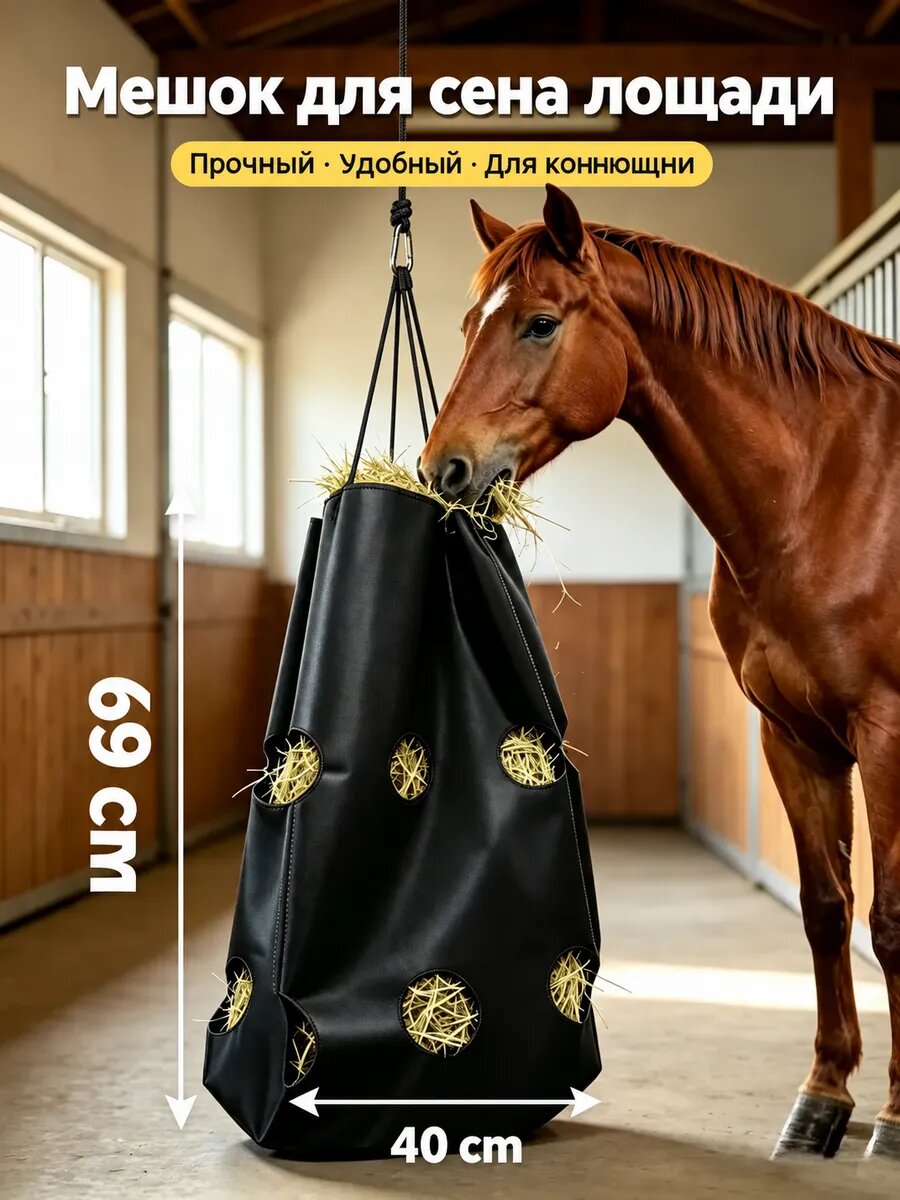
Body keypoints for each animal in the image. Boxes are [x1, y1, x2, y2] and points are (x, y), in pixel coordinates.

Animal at [418, 183, 900, 1161]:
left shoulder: (888, 730)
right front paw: (823, 1099)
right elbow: (827, 908)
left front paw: (899, 1117)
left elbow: (896, 921)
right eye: (467, 324)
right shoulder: (794, 737)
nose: (442, 468)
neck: (827, 488)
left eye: (539, 323)